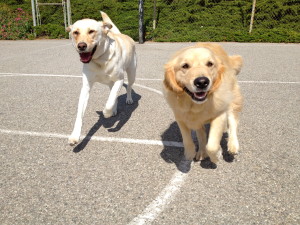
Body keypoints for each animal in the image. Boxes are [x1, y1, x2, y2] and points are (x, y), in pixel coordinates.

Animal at [67, 11, 137, 145]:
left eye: (91, 31)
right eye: (76, 32)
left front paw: (106, 113)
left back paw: (128, 99)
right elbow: (79, 114)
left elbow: (109, 102)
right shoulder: (86, 87)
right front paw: (75, 135)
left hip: (132, 73)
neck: (99, 60)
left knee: (128, 87)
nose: (81, 46)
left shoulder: (119, 80)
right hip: (111, 83)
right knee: (113, 94)